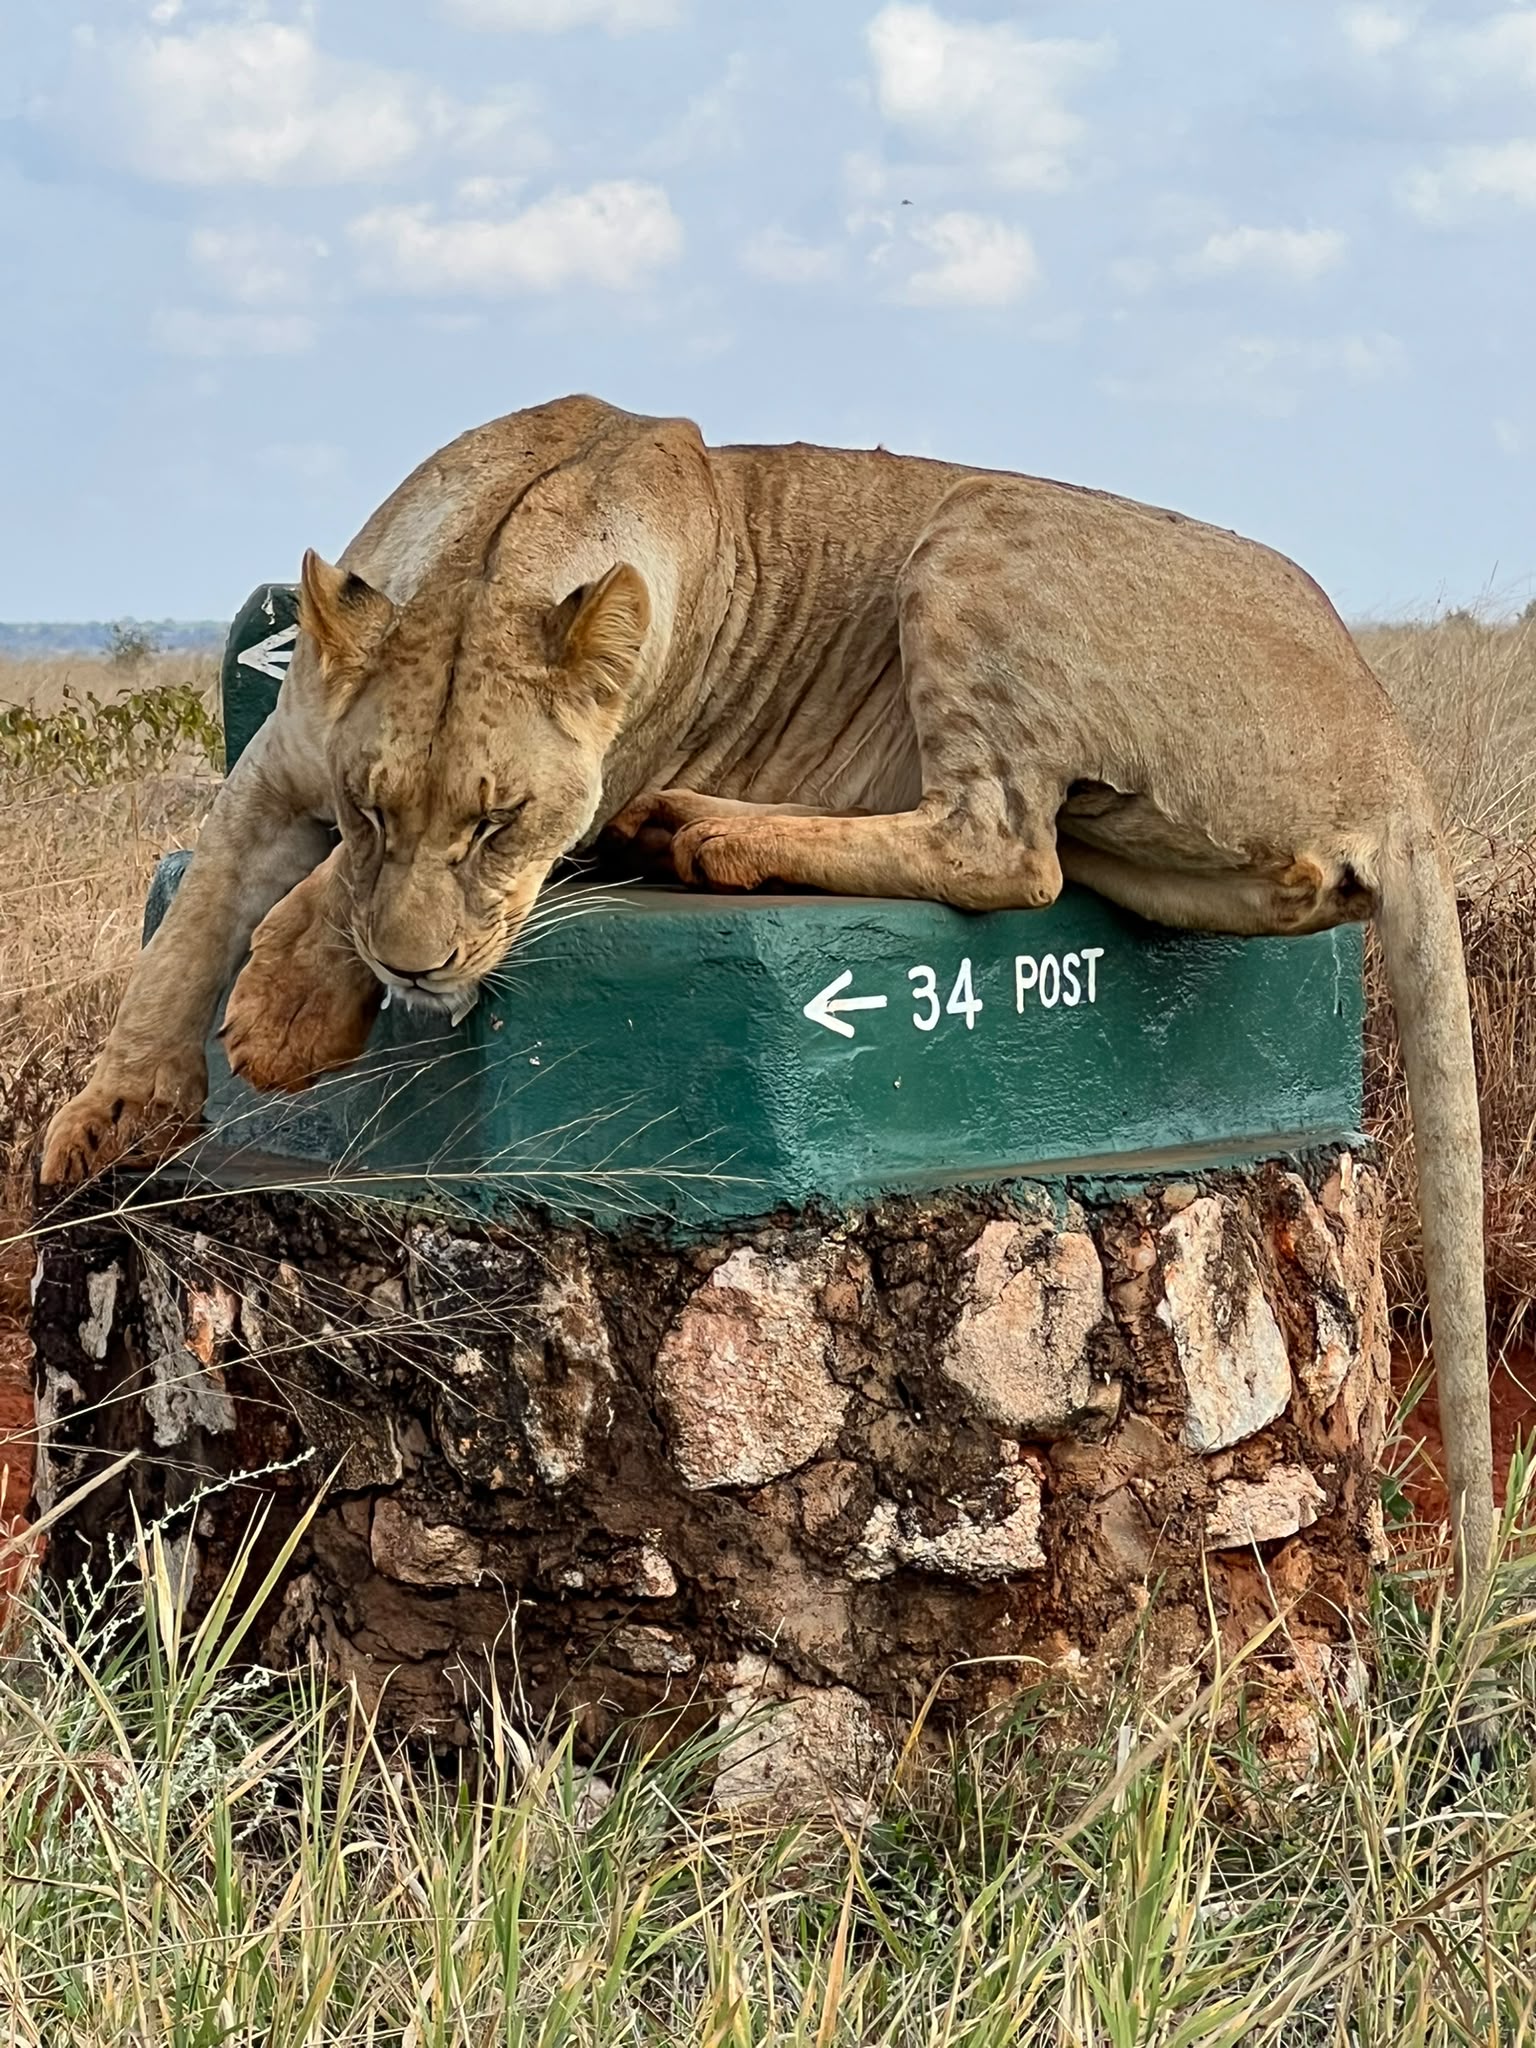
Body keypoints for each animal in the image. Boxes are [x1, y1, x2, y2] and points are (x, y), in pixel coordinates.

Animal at [41, 392, 1495, 1587]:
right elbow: (196, 921)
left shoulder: (578, 786)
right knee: (1041, 850)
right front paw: (107, 1117)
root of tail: (1392, 744)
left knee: (1002, 848)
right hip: (1149, 841)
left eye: (502, 823)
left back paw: (699, 834)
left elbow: (306, 902)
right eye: (377, 802)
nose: (416, 967)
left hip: (978, 534)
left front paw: (285, 1007)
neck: (499, 543)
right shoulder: (279, 767)